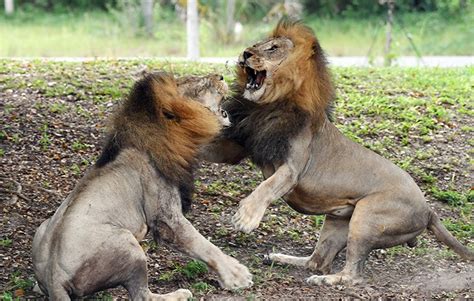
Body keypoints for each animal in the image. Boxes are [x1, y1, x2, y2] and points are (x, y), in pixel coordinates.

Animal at [31, 73, 254, 300]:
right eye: (199, 86)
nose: (221, 76)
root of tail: (54, 277)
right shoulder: (166, 217)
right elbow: (201, 244)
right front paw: (236, 275)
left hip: (43, 230)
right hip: (127, 243)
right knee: (143, 295)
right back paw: (178, 295)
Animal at [202, 20, 472, 284]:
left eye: (273, 48)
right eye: (257, 44)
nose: (246, 53)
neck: (267, 105)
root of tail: (428, 209)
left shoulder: (292, 169)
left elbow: (267, 187)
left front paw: (245, 218)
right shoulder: (236, 146)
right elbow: (210, 148)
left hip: (367, 217)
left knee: (353, 275)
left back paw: (326, 281)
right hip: (337, 221)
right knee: (318, 261)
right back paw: (279, 258)